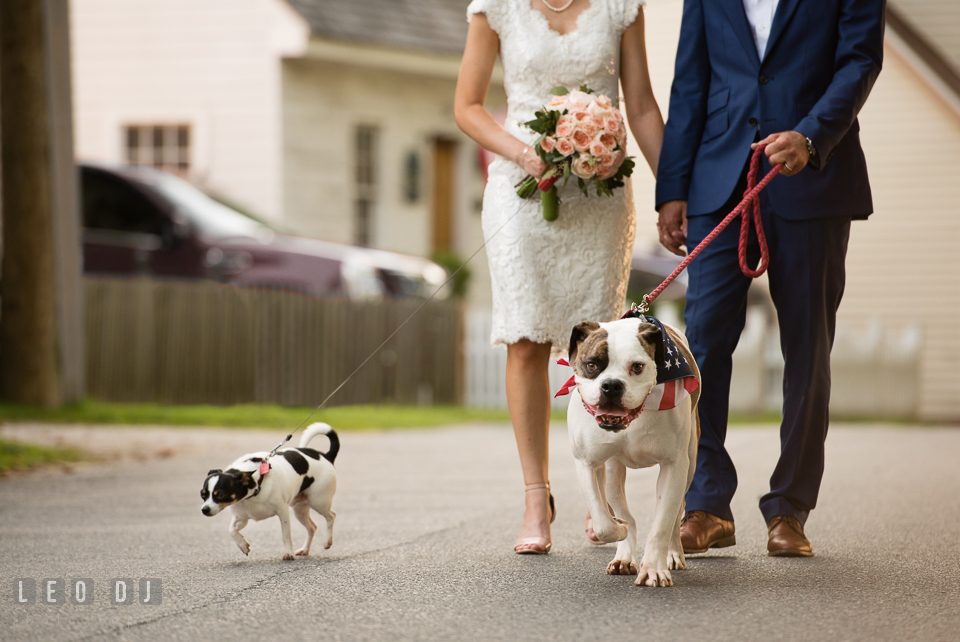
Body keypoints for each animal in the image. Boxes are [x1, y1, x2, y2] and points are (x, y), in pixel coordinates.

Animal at [201, 420, 340, 556]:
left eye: (220, 494)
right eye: (203, 494)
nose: (204, 510)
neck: (256, 485)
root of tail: (326, 456)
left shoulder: (283, 512)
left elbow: (286, 535)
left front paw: (288, 553)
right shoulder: (241, 518)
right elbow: (231, 530)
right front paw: (243, 545)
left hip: (318, 502)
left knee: (331, 516)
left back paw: (327, 541)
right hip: (300, 510)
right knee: (312, 527)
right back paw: (305, 549)